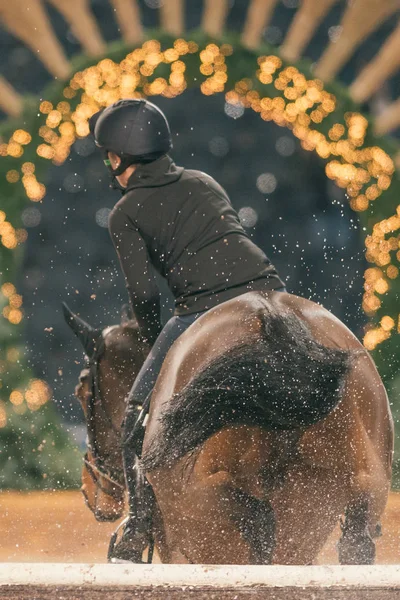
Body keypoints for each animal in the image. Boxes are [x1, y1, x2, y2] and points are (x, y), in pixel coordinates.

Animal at [63, 290, 394, 568]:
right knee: (354, 542)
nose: (90, 492)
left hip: (200, 492)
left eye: (81, 391)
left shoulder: (180, 551)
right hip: (369, 484)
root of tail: (272, 314)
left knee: (260, 527)